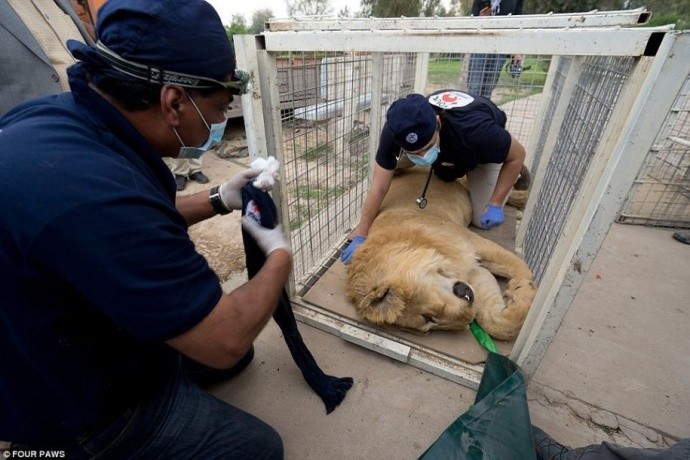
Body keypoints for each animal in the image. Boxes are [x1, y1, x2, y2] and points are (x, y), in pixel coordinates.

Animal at [346, 169, 536, 342]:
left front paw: (524, 287)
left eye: (427, 316)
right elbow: (496, 324)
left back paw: (521, 197)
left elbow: (522, 268)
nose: (468, 318)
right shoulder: (473, 273)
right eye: (430, 321)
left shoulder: (473, 245)